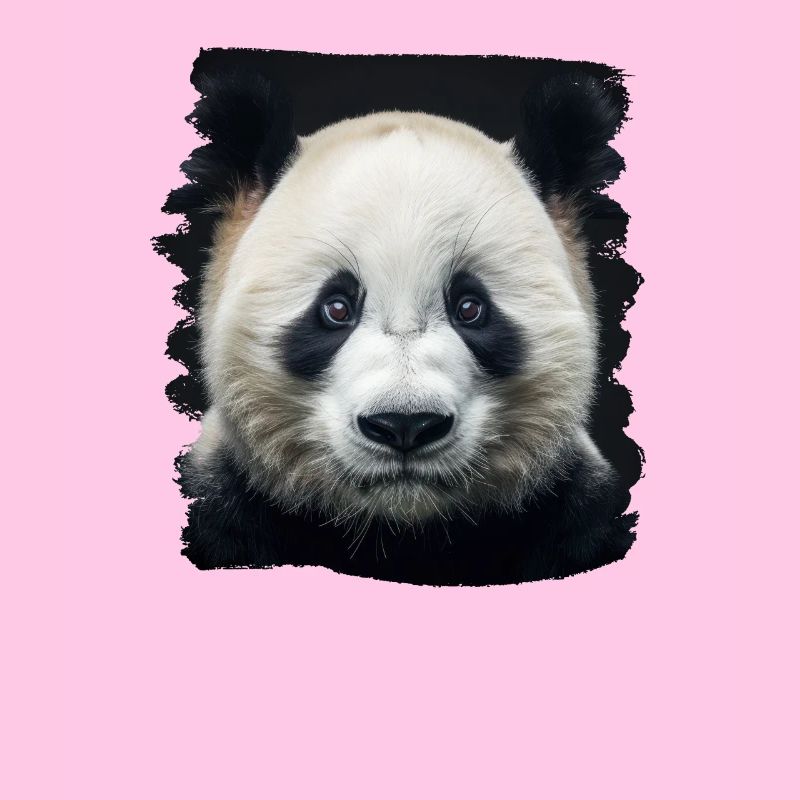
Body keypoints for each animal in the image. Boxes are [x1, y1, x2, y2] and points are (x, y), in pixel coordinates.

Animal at [162, 69, 638, 585]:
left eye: (470, 308)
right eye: (336, 308)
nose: (405, 425)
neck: (401, 533)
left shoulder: (573, 511)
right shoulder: (225, 502)